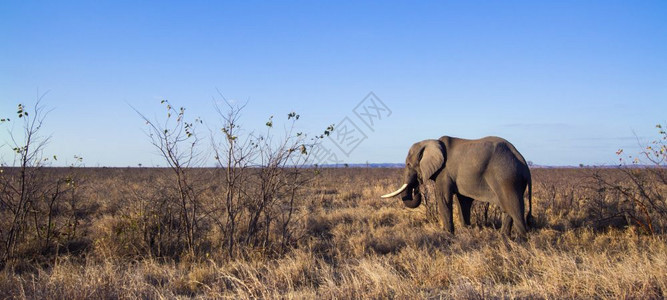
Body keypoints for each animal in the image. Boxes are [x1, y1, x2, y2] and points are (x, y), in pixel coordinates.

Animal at [380, 135, 532, 237]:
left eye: (408, 164)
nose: (417, 184)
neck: (431, 142)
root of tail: (523, 161)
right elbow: (463, 201)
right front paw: (466, 230)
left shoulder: (444, 172)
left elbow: (444, 198)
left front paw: (447, 234)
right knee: (508, 209)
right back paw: (504, 237)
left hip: (507, 177)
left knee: (514, 208)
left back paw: (521, 240)